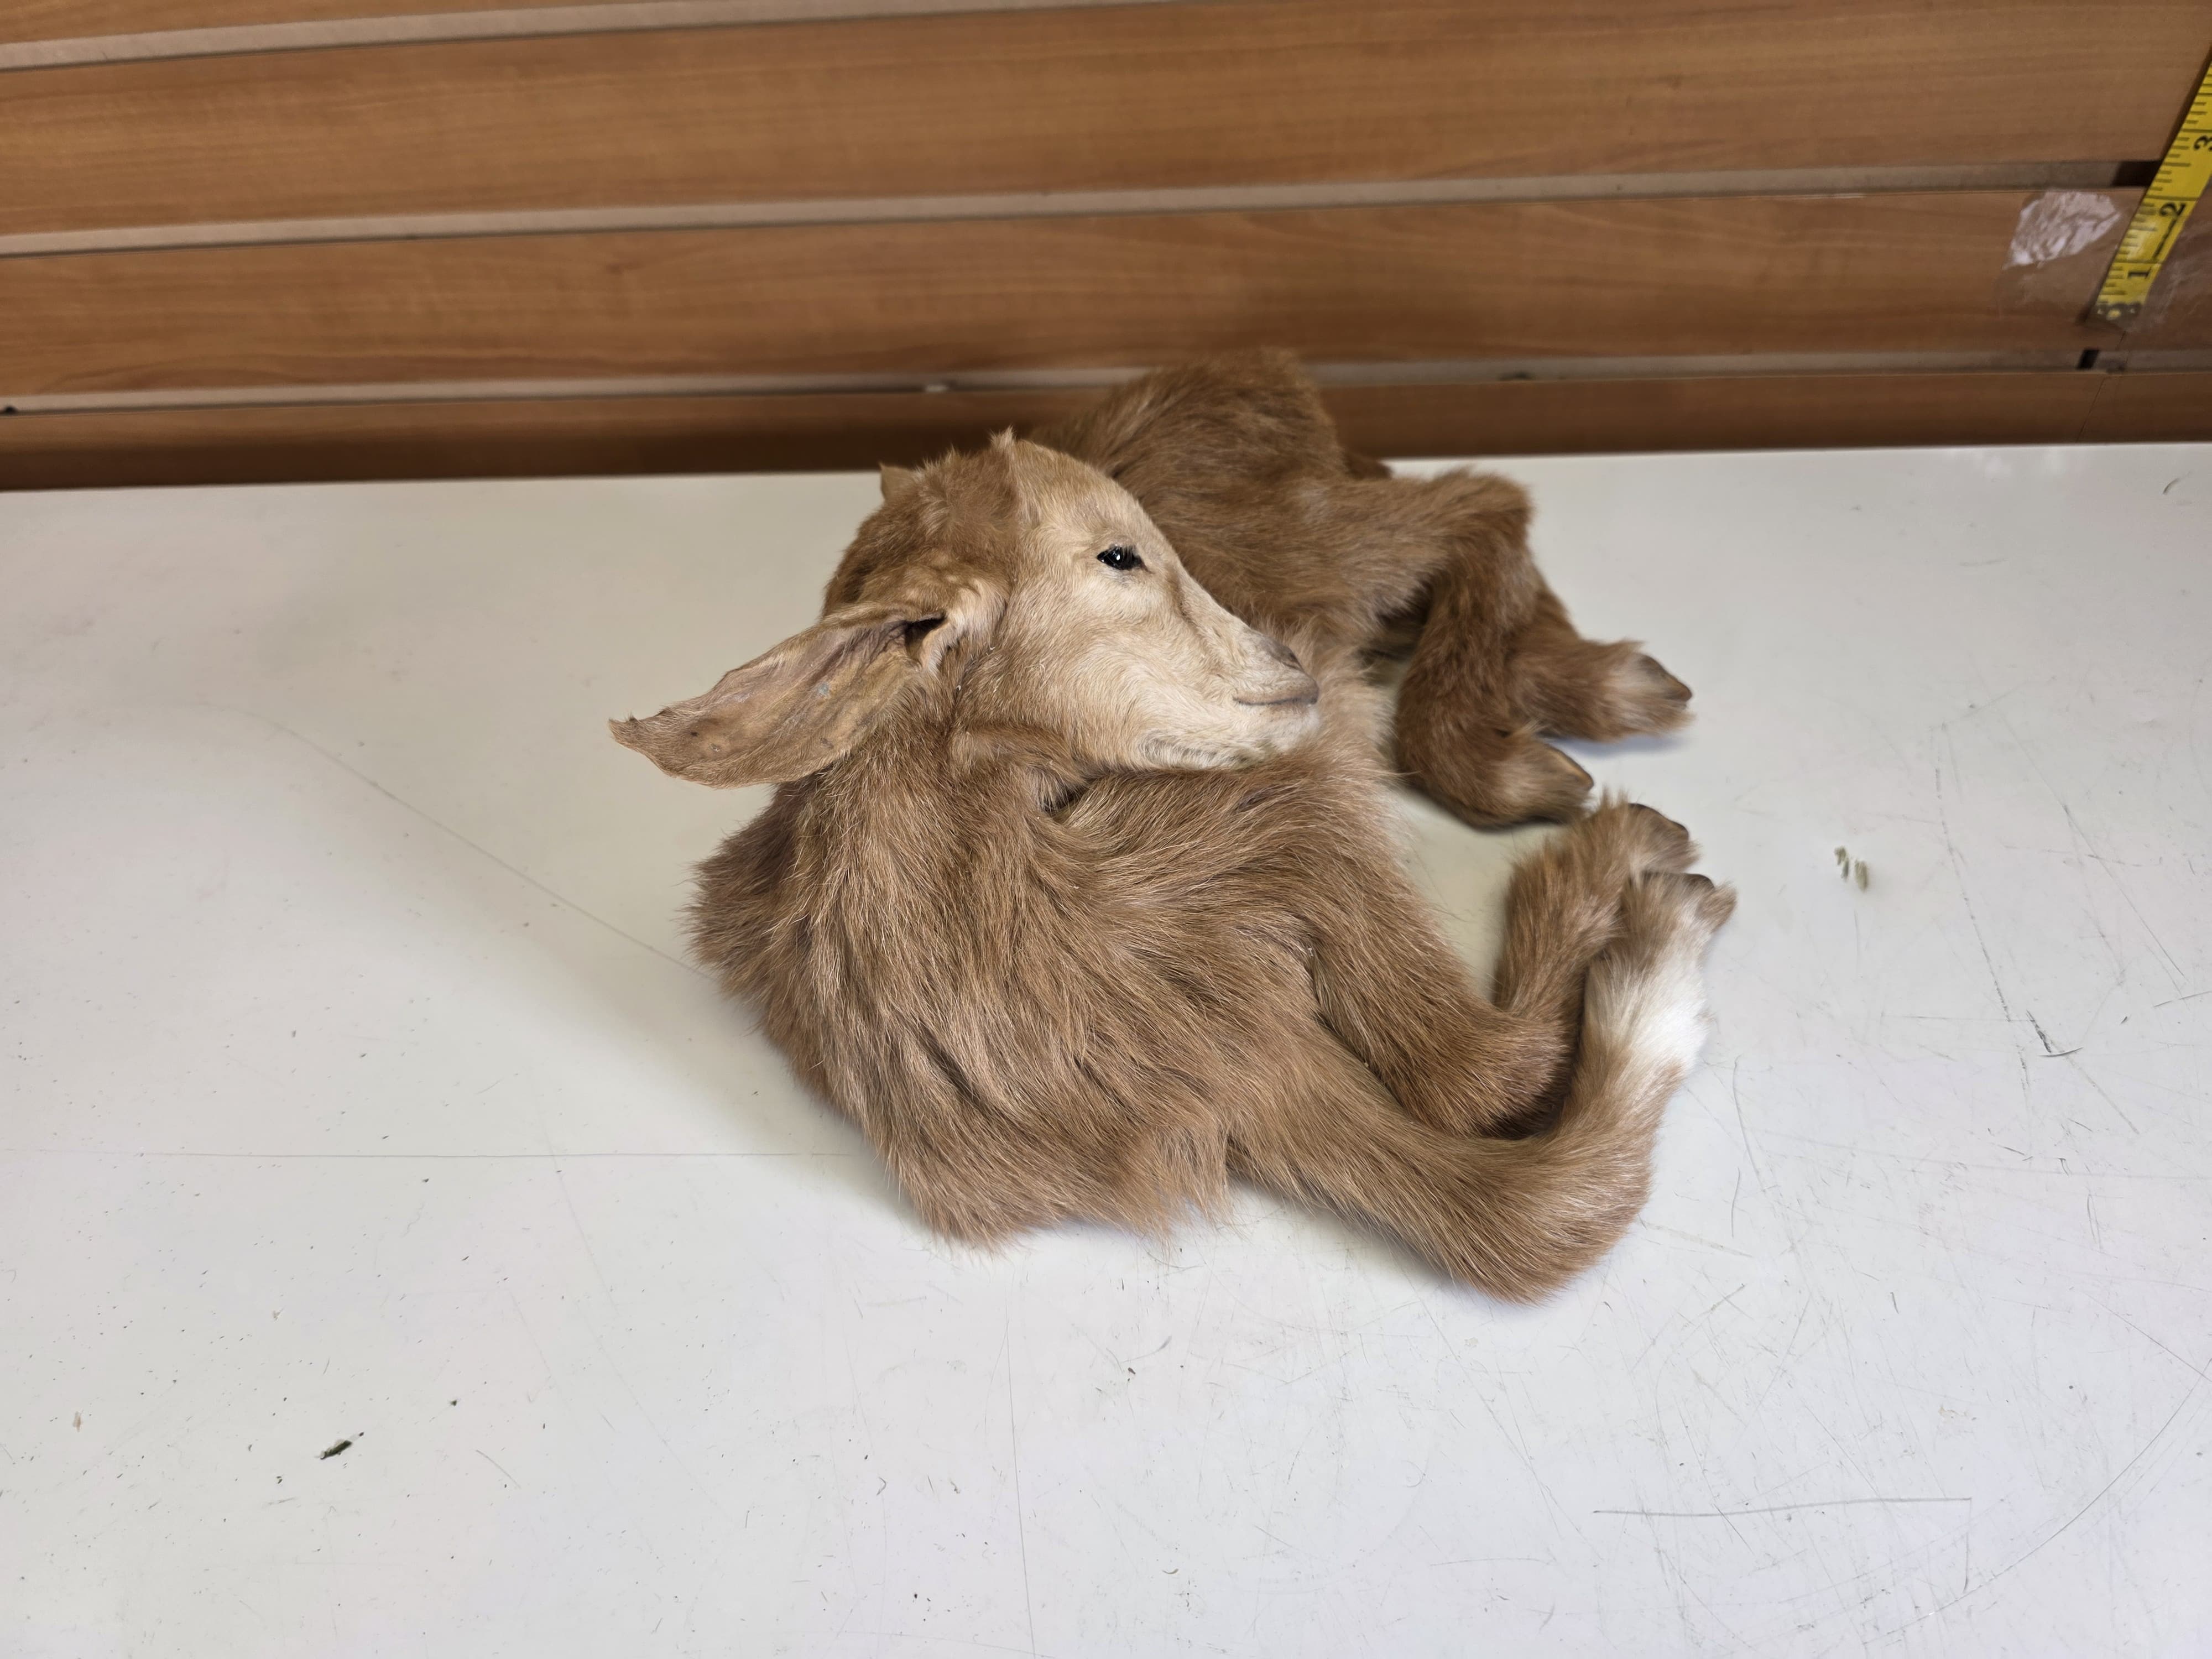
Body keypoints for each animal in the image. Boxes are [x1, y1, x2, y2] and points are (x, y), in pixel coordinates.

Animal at [612, 353, 1730, 1299]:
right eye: (1120, 558)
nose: (1291, 666)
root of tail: (1252, 371)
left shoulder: (1287, 853)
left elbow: (1485, 1097)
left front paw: (1642, 880)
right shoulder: (1236, 1040)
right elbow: (1505, 1153)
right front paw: (1648, 903)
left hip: (1321, 548)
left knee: (1484, 504)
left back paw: (1586, 707)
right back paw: (1566, 706)